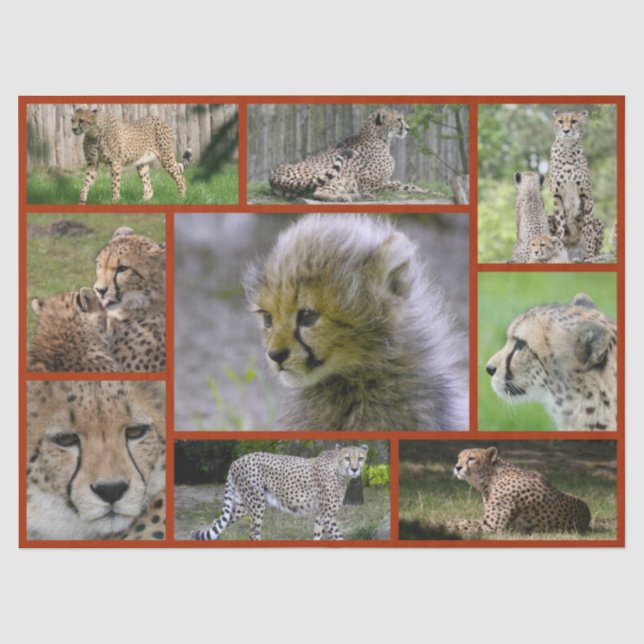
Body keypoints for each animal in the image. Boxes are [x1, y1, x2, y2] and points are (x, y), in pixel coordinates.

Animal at [190, 444, 369, 541]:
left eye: (360, 458)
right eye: (347, 458)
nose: (354, 469)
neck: (340, 472)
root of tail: (236, 461)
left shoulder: (321, 515)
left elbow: (318, 536)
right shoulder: (327, 515)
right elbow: (339, 537)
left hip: (242, 506)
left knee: (217, 522)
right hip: (257, 505)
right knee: (253, 534)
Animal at [269, 108, 434, 202]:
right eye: (398, 119)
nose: (408, 128)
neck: (383, 139)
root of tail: (273, 174)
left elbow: (407, 185)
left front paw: (430, 191)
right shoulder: (366, 183)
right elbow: (393, 185)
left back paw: (356, 196)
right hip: (335, 176)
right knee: (318, 193)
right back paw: (347, 197)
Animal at [449, 446, 591, 534]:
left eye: (471, 458)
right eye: (458, 457)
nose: (457, 467)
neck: (491, 478)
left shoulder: (491, 526)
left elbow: (459, 524)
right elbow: (459, 520)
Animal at [549, 110, 605, 261]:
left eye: (574, 121)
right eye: (560, 121)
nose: (566, 131)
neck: (568, 150)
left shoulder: (586, 195)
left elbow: (588, 229)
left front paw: (590, 255)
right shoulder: (557, 196)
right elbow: (560, 228)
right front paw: (559, 251)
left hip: (599, 222)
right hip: (548, 218)